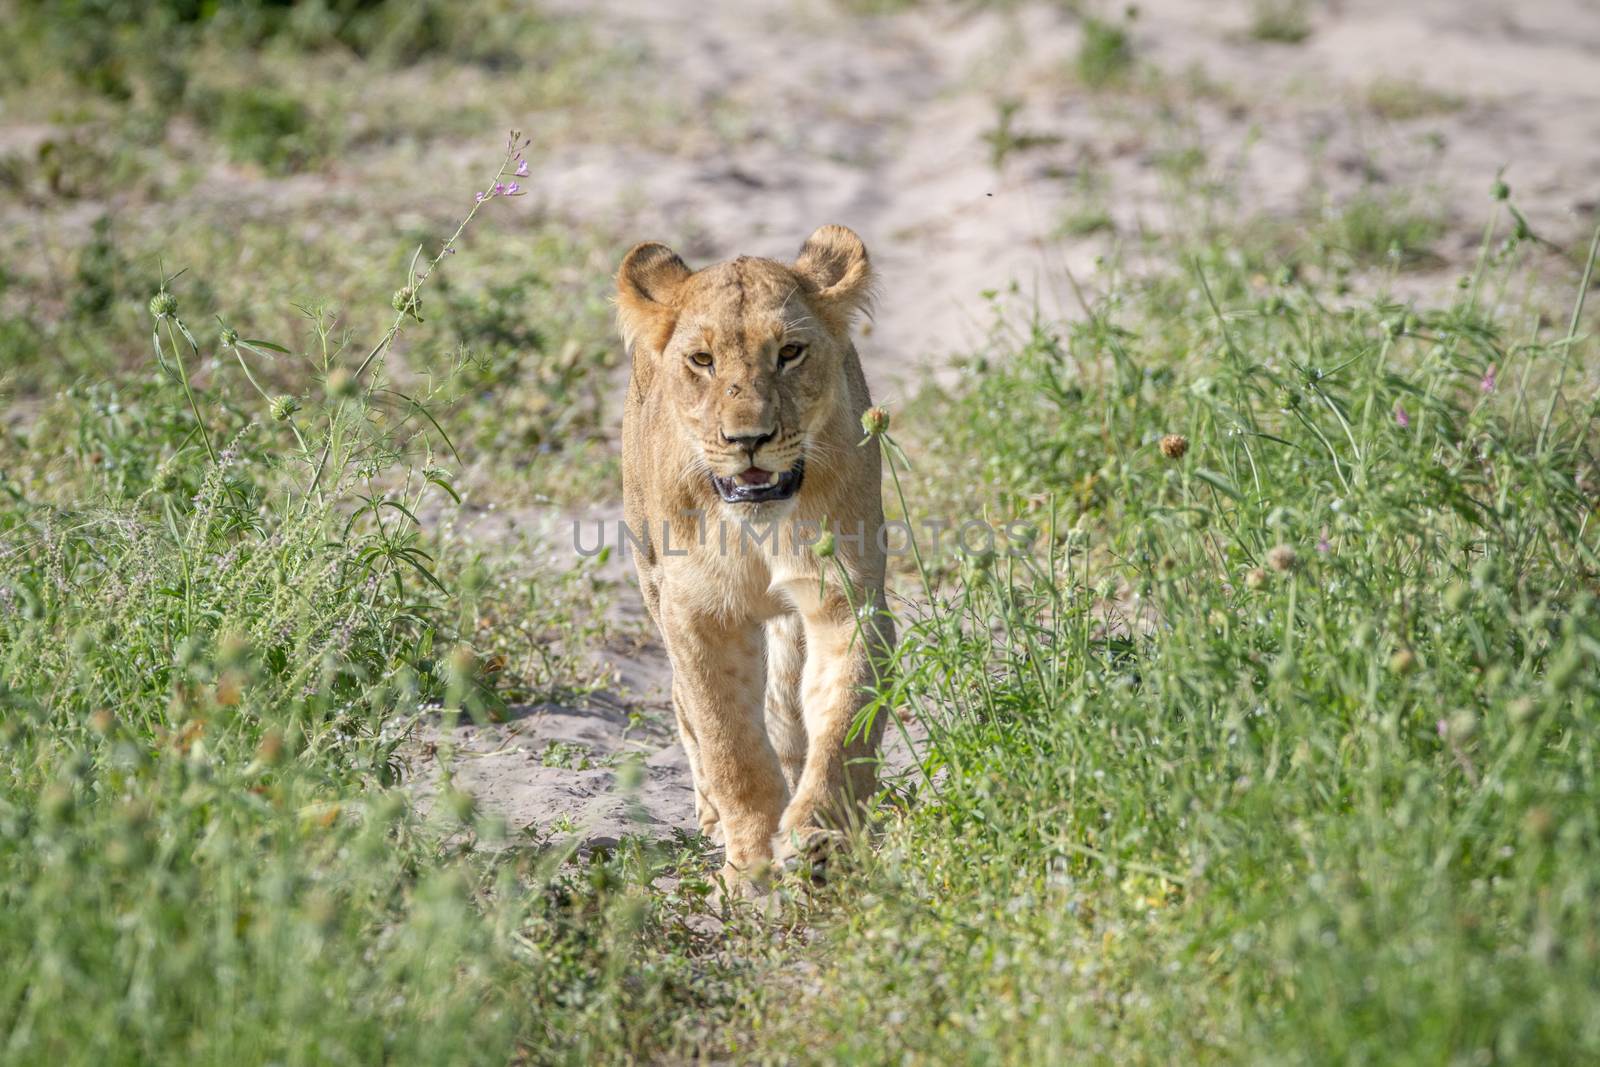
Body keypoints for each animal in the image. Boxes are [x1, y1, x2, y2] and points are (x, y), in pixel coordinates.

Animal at [611, 225, 896, 895]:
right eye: (702, 361)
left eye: (789, 352)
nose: (749, 440)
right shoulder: (696, 614)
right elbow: (727, 740)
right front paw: (750, 862)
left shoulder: (847, 601)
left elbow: (844, 720)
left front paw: (818, 837)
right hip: (652, 580)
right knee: (685, 704)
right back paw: (714, 818)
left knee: (789, 709)